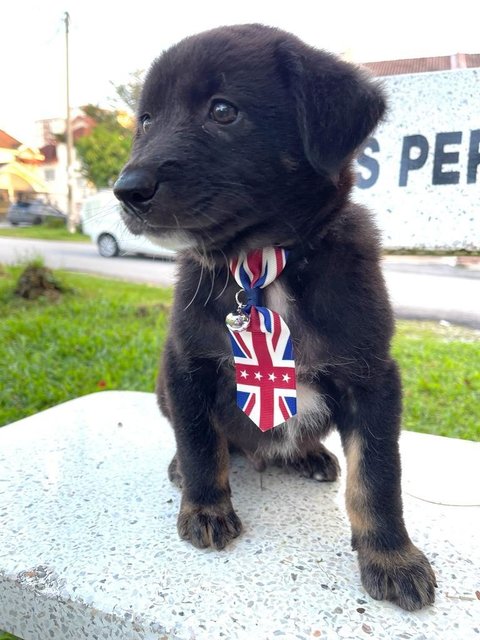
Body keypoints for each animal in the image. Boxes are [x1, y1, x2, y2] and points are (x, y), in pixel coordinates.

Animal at [114, 23, 436, 608]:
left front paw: (392, 556)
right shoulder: (186, 364)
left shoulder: (373, 378)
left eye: (222, 110)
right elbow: (200, 441)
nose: (126, 191)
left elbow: (378, 476)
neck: (264, 265)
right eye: (145, 120)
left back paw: (309, 455)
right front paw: (205, 506)